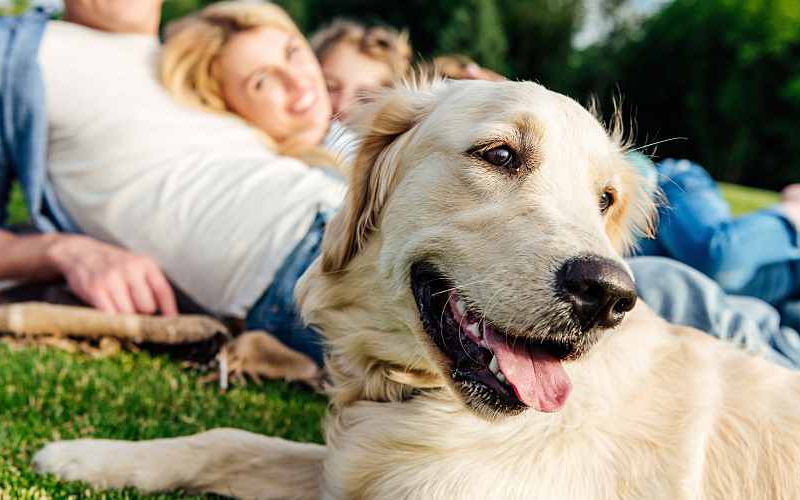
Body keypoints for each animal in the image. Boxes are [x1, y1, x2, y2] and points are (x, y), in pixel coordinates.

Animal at [31, 79, 800, 500]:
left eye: (605, 199)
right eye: (500, 154)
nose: (609, 295)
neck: (420, 400)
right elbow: (227, 439)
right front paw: (88, 456)